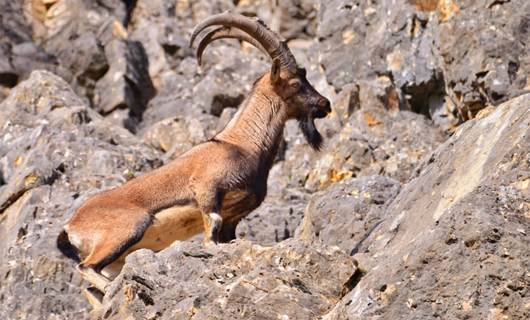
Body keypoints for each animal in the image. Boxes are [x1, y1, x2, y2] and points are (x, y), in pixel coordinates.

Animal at [57, 11, 330, 304]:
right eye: (296, 82)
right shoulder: (207, 190)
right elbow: (211, 234)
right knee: (85, 267)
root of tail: (70, 227)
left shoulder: (233, 219)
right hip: (126, 230)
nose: (325, 104)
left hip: (115, 258)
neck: (241, 144)